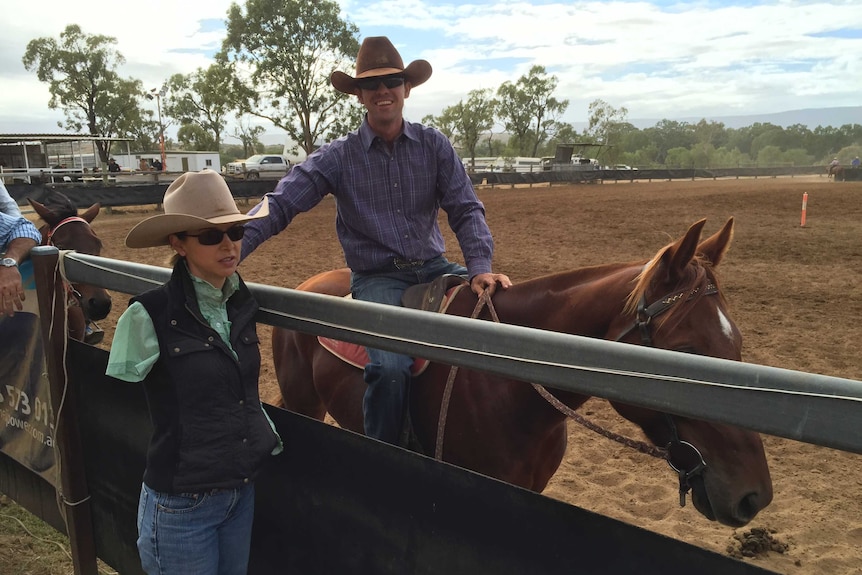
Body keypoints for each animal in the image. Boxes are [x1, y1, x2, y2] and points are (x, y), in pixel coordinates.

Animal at [276, 218, 776, 528]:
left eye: (737, 343)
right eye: (687, 352)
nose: (755, 496)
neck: (505, 380)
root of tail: (308, 284)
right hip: (305, 405)